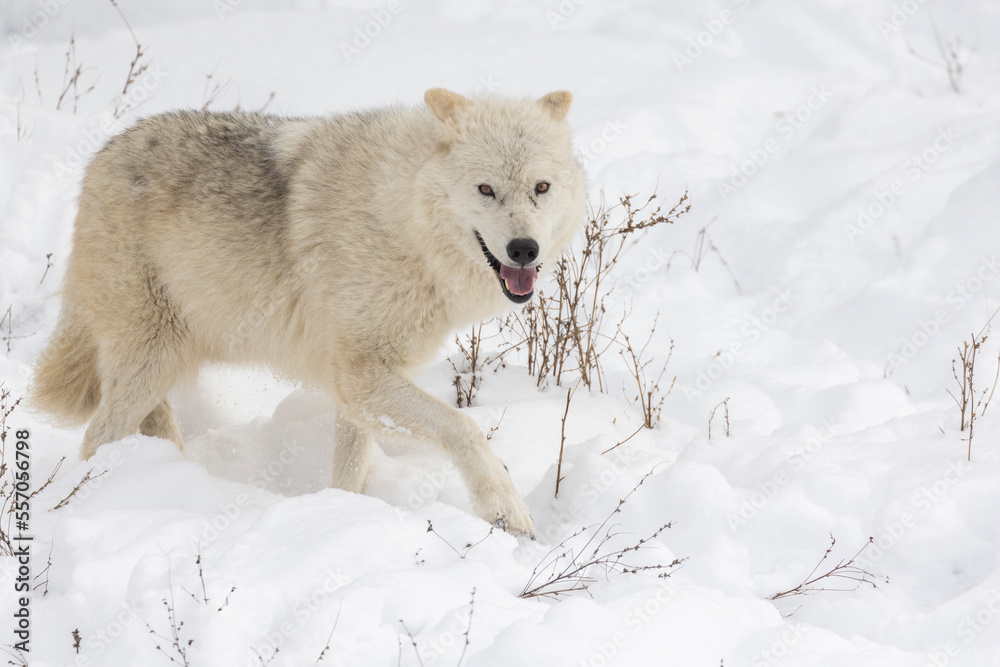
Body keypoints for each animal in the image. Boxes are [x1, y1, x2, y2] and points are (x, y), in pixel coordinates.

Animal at [35, 88, 588, 536]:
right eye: (485, 189)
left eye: (541, 188)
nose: (524, 249)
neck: (400, 218)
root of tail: (100, 159)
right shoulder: (363, 375)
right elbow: (465, 428)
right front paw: (506, 510)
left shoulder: (357, 387)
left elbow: (350, 473)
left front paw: (338, 514)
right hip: (149, 358)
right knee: (95, 438)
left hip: (161, 365)